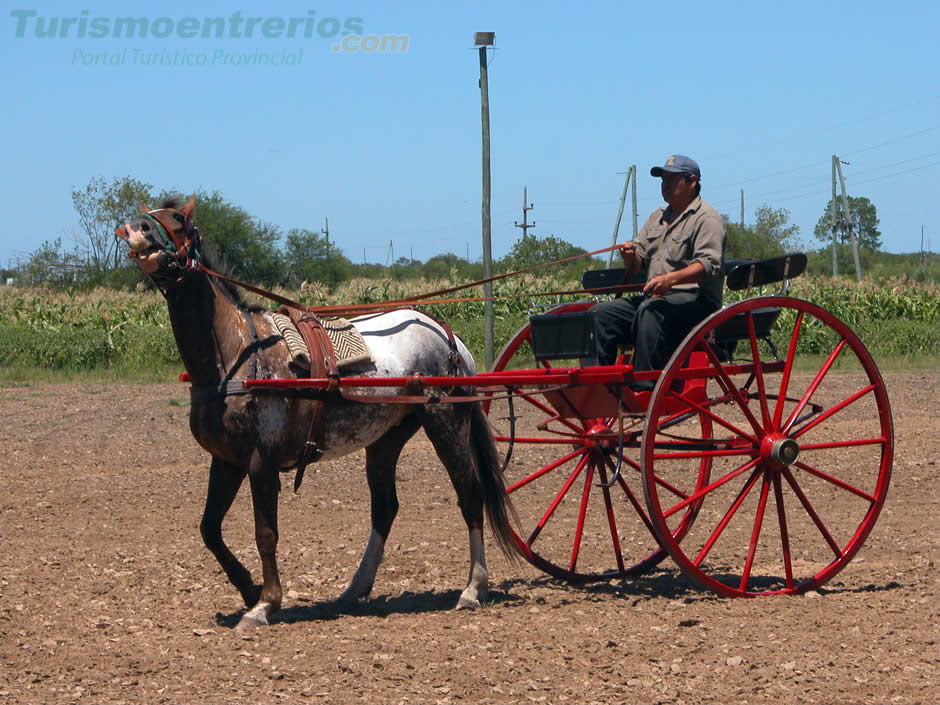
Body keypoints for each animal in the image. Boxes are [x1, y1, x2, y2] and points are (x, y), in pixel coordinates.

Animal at [115, 195, 520, 628]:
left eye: (177, 219)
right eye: (151, 214)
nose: (135, 228)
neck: (236, 353)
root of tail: (446, 333)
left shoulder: (260, 462)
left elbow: (265, 534)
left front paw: (265, 604)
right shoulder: (226, 461)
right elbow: (210, 529)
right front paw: (249, 588)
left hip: (446, 424)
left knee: (469, 495)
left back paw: (473, 588)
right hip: (386, 439)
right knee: (385, 508)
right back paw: (356, 588)